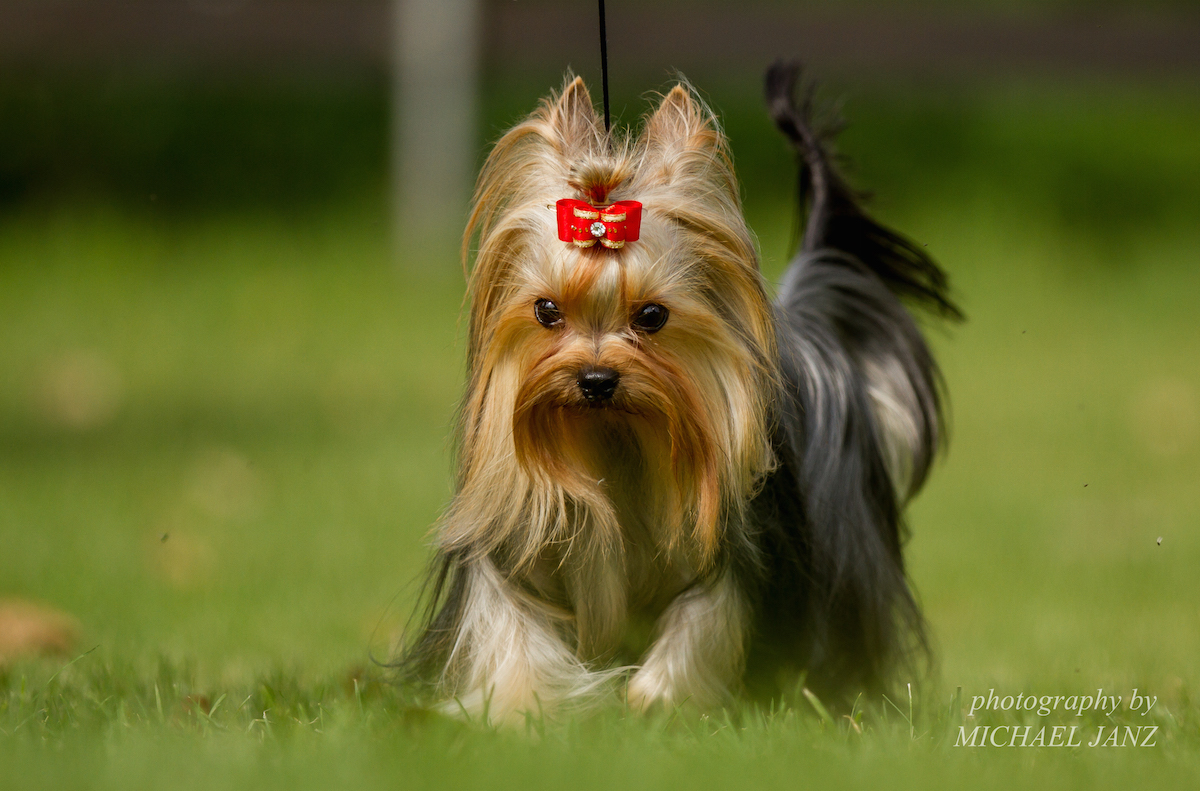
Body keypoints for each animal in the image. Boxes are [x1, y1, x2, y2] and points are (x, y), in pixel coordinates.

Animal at [398, 61, 960, 724]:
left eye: (652, 316)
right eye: (545, 311)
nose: (595, 380)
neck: (613, 434)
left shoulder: (730, 556)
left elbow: (703, 622)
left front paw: (656, 703)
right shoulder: (512, 550)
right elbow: (513, 631)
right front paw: (524, 711)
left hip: (845, 550)